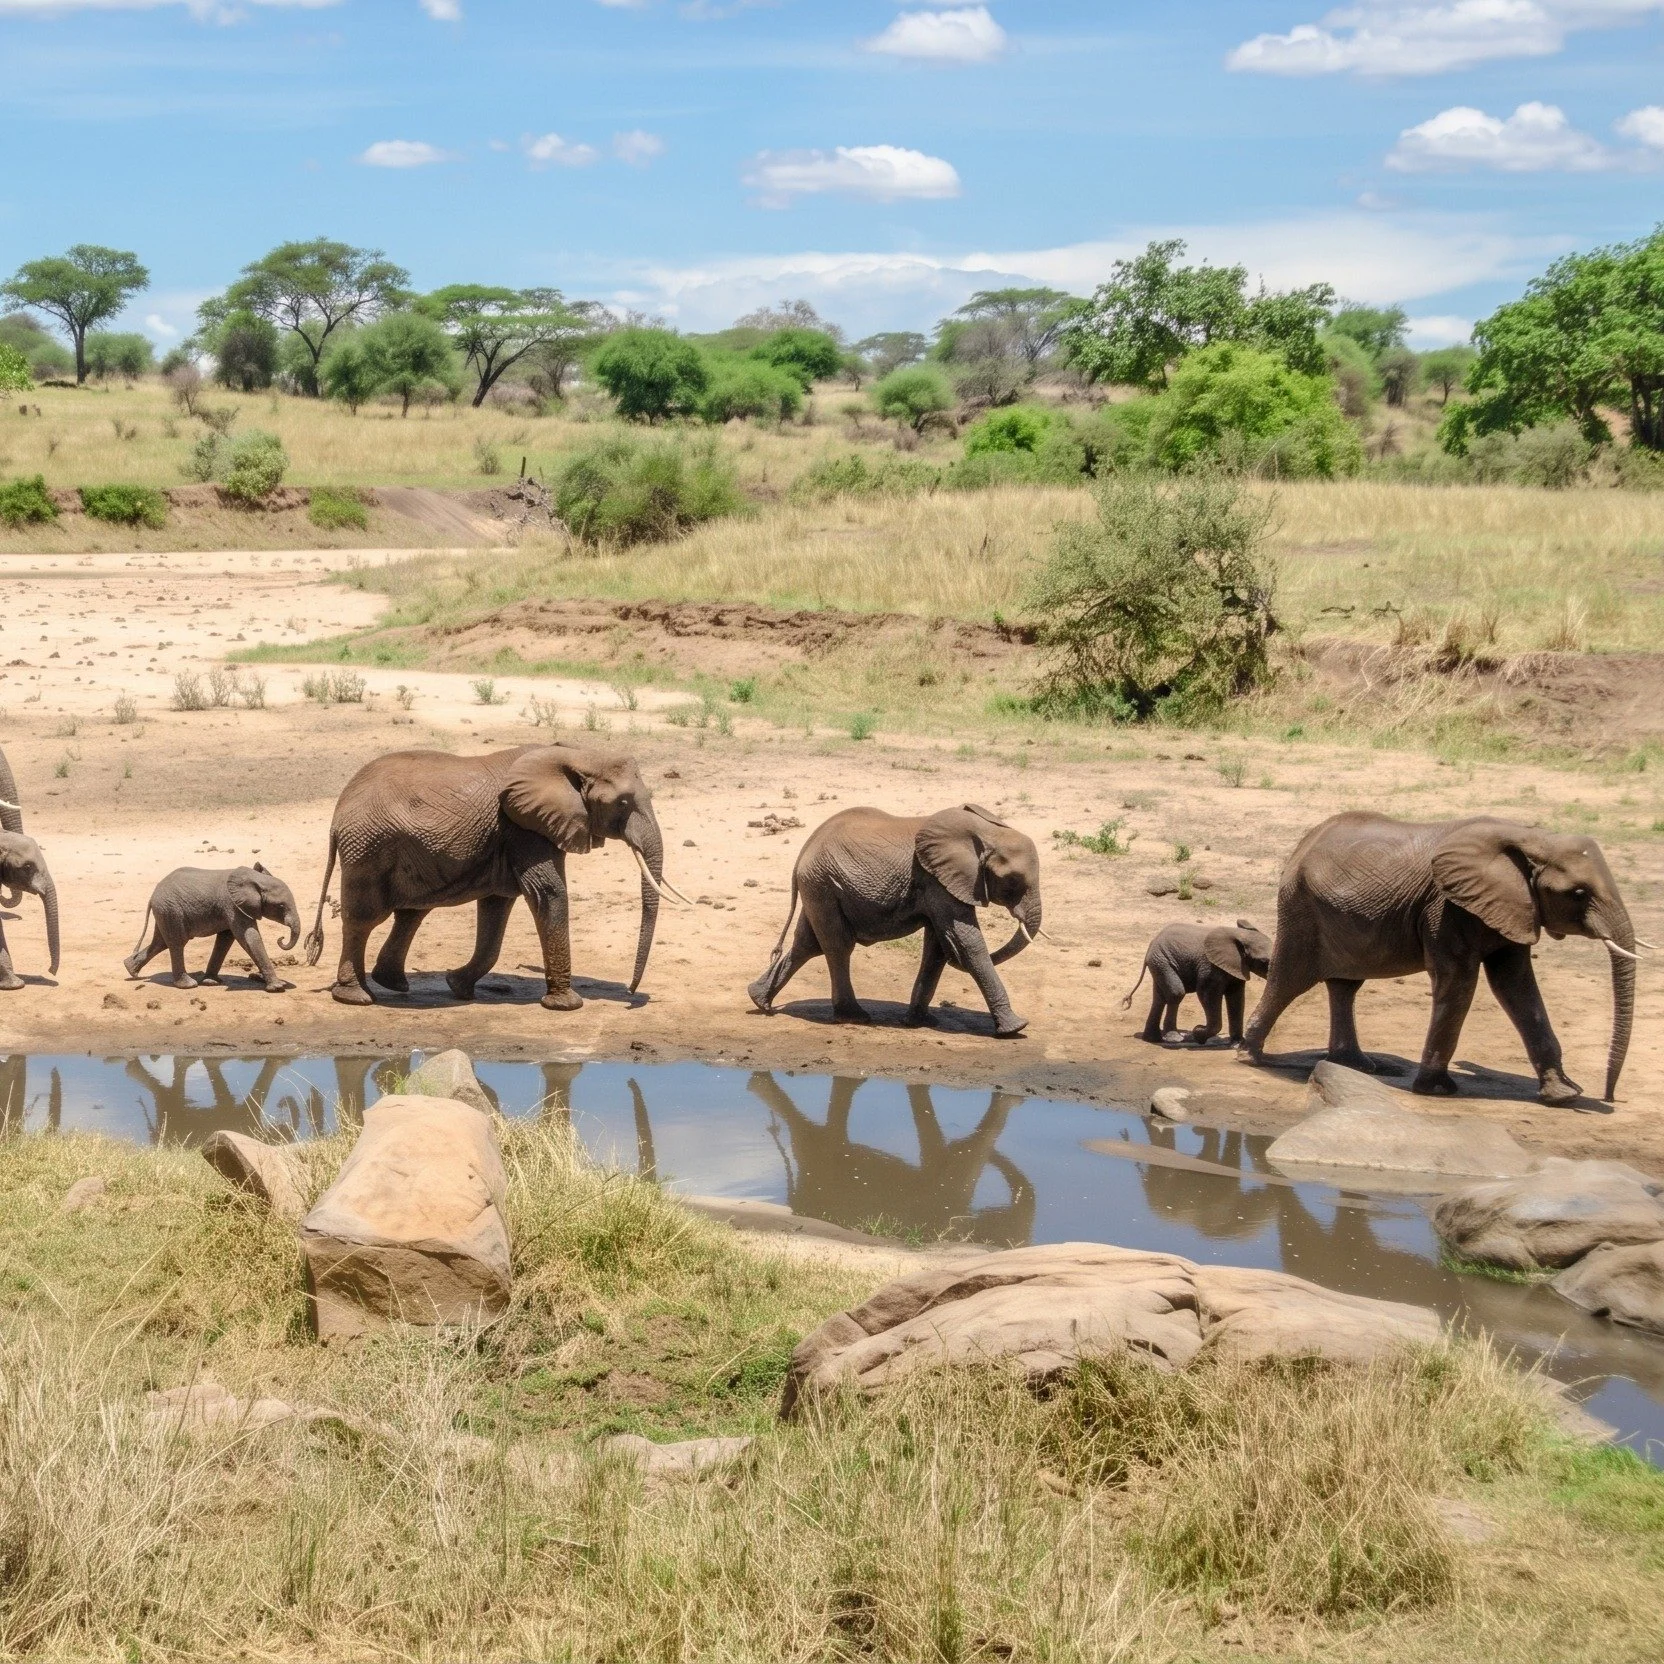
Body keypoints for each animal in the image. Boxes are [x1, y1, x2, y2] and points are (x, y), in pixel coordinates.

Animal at [124, 863, 302, 991]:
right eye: (281, 906)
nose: (281, 939)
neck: (253, 878)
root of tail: (153, 895)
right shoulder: (232, 906)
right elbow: (247, 937)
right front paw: (278, 987)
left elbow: (226, 939)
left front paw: (211, 982)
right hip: (171, 910)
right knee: (176, 943)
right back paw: (188, 985)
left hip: (165, 911)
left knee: (160, 943)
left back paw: (130, 969)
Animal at [305, 744, 679, 1010]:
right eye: (623, 803)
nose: (630, 992)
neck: (577, 753)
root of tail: (337, 815)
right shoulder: (524, 827)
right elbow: (548, 893)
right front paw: (565, 1005)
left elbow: (498, 905)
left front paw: (457, 986)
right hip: (367, 850)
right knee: (364, 918)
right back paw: (356, 997)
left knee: (411, 912)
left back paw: (392, 983)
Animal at [747, 803, 1042, 1036]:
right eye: (1012, 880)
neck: (985, 832)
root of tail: (804, 849)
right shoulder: (937, 880)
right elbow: (966, 942)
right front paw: (1016, 1029)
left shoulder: (940, 883)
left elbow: (939, 946)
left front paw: (921, 1022)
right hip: (822, 883)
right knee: (837, 946)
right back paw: (853, 1017)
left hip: (819, 887)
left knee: (807, 944)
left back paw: (759, 1000)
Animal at [1121, 920, 1273, 1044]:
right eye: (1264, 962)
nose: (1197, 1028)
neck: (1240, 934)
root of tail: (1152, 943)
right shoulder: (1210, 968)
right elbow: (1206, 994)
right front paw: (1198, 1033)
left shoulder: (1236, 968)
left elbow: (1236, 998)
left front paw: (1237, 1043)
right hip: (1163, 961)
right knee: (1176, 993)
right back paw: (1174, 1039)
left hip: (1159, 962)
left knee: (1160, 998)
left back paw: (1152, 1039)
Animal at [1241, 812, 1645, 1105]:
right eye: (1577, 893)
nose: (1611, 1097)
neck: (1531, 836)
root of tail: (1303, 842)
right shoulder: (1447, 907)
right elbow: (1459, 980)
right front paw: (1437, 1091)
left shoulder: (1512, 906)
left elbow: (1516, 985)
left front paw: (1564, 1095)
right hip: (1300, 906)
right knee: (1290, 979)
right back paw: (1249, 1056)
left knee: (1345, 986)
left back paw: (1356, 1065)